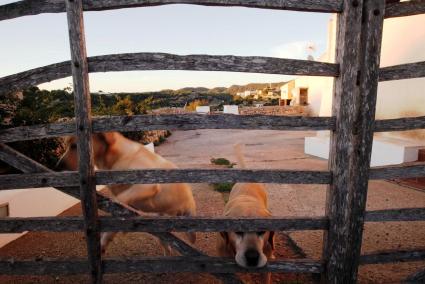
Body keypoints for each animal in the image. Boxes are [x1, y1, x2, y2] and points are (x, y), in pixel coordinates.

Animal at [55, 132, 196, 254]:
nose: (58, 166)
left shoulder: (148, 184)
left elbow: (119, 201)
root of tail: (190, 205)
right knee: (167, 245)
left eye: (74, 146)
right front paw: (106, 239)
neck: (116, 157)